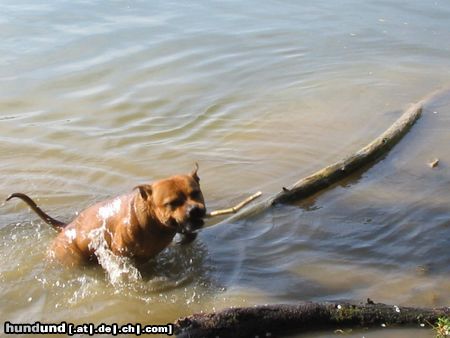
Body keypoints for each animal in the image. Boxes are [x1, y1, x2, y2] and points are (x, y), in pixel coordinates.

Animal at [5, 166, 206, 266]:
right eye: (172, 203)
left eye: (195, 193)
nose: (194, 210)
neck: (155, 223)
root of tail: (67, 227)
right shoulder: (122, 253)